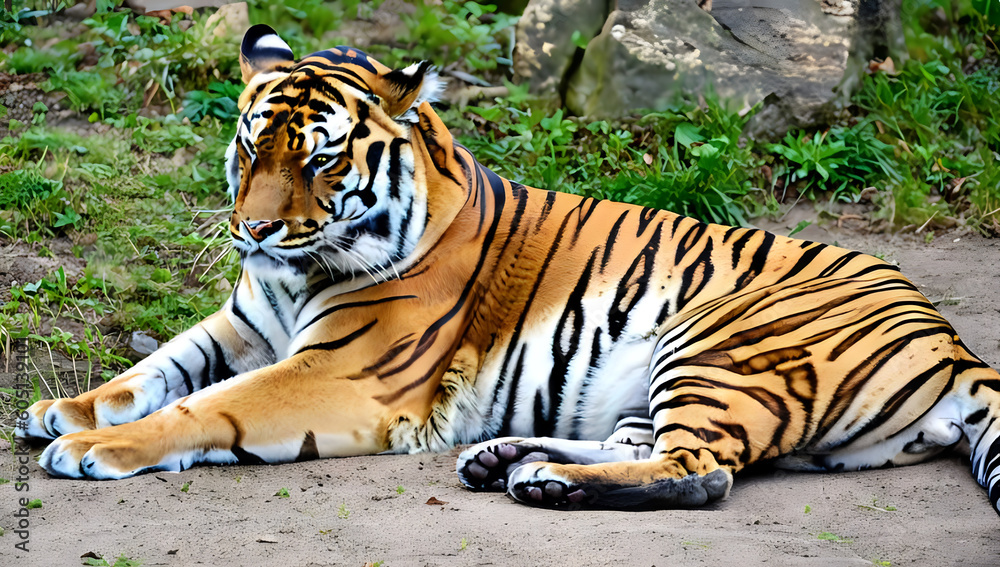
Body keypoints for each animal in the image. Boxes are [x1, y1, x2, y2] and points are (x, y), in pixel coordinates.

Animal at [15, 24, 1000, 514]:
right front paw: (63, 410)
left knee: (703, 467)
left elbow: (207, 403)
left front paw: (92, 448)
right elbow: (158, 365)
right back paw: (506, 458)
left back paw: (544, 481)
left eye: (323, 160)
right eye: (255, 146)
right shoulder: (245, 319)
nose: (253, 228)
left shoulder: (340, 370)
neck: (293, 276)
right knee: (655, 444)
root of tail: (952, 337)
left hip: (718, 339)